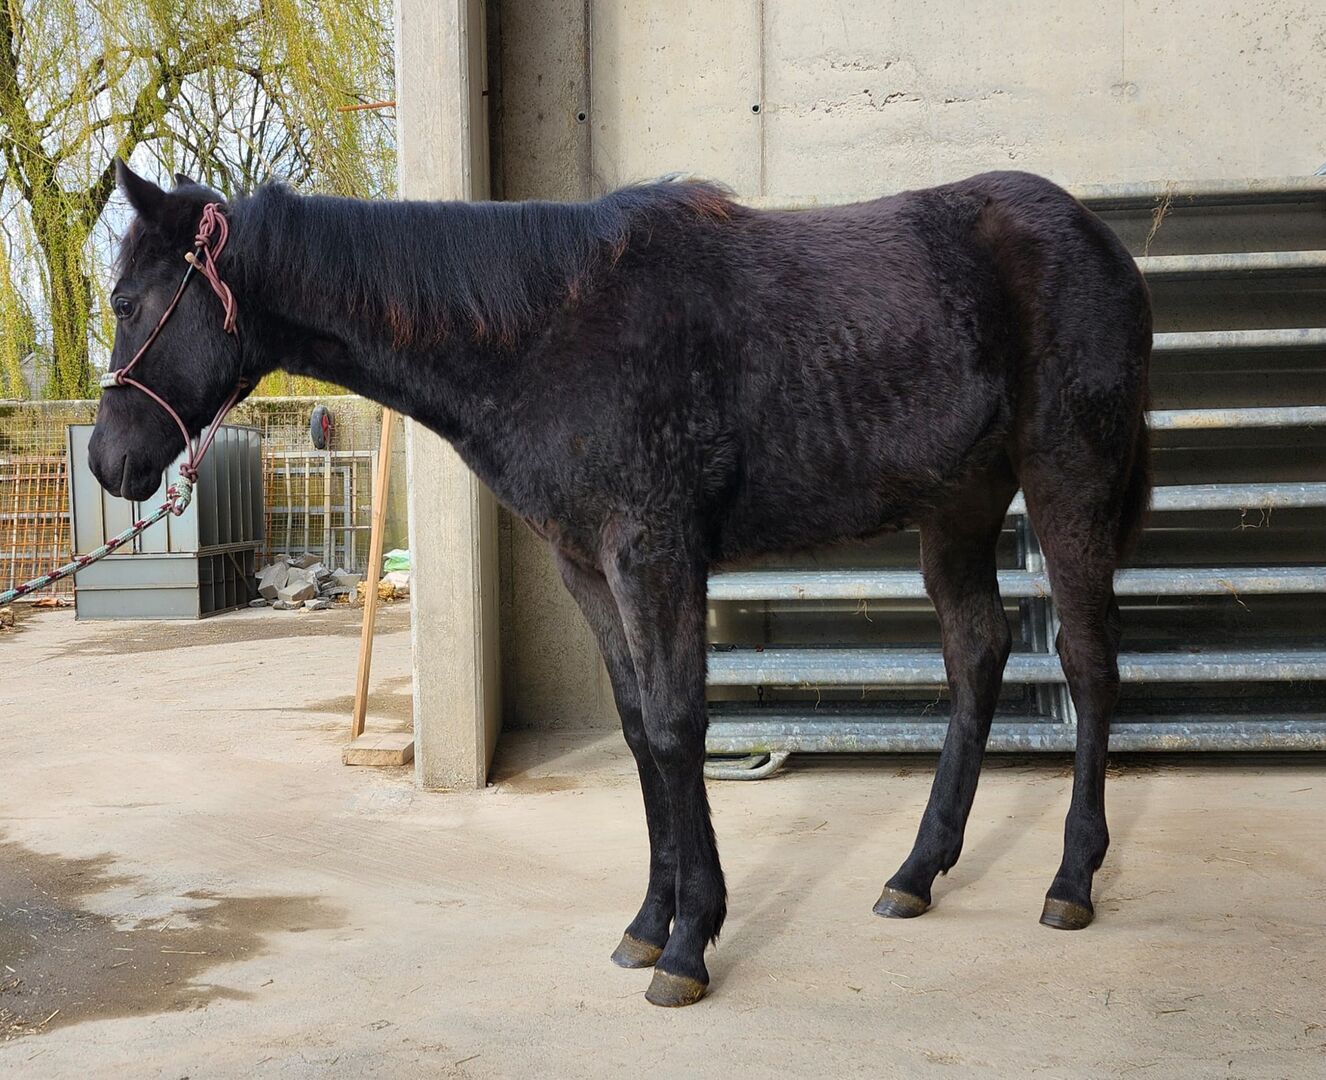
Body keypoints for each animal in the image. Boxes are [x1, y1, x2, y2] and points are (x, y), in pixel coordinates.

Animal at [90, 160, 1151, 1008]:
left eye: (129, 303)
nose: (108, 463)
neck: (543, 334)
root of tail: (1101, 241)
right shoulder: (588, 569)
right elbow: (641, 730)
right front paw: (648, 925)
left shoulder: (653, 553)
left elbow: (680, 728)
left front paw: (689, 946)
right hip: (959, 508)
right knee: (977, 656)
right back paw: (917, 874)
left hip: (1068, 478)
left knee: (1091, 666)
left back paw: (1071, 882)